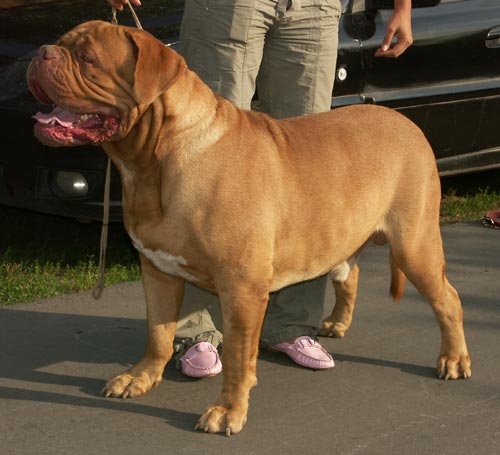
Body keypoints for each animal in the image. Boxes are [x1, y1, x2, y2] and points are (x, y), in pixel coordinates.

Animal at [28, 20, 472, 434]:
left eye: (87, 58)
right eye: (63, 43)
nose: (40, 53)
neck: (152, 160)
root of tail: (407, 123)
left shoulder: (241, 289)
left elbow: (239, 358)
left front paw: (227, 410)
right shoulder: (157, 271)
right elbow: (158, 332)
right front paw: (141, 377)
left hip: (415, 244)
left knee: (448, 299)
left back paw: (453, 359)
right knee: (350, 275)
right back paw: (336, 324)